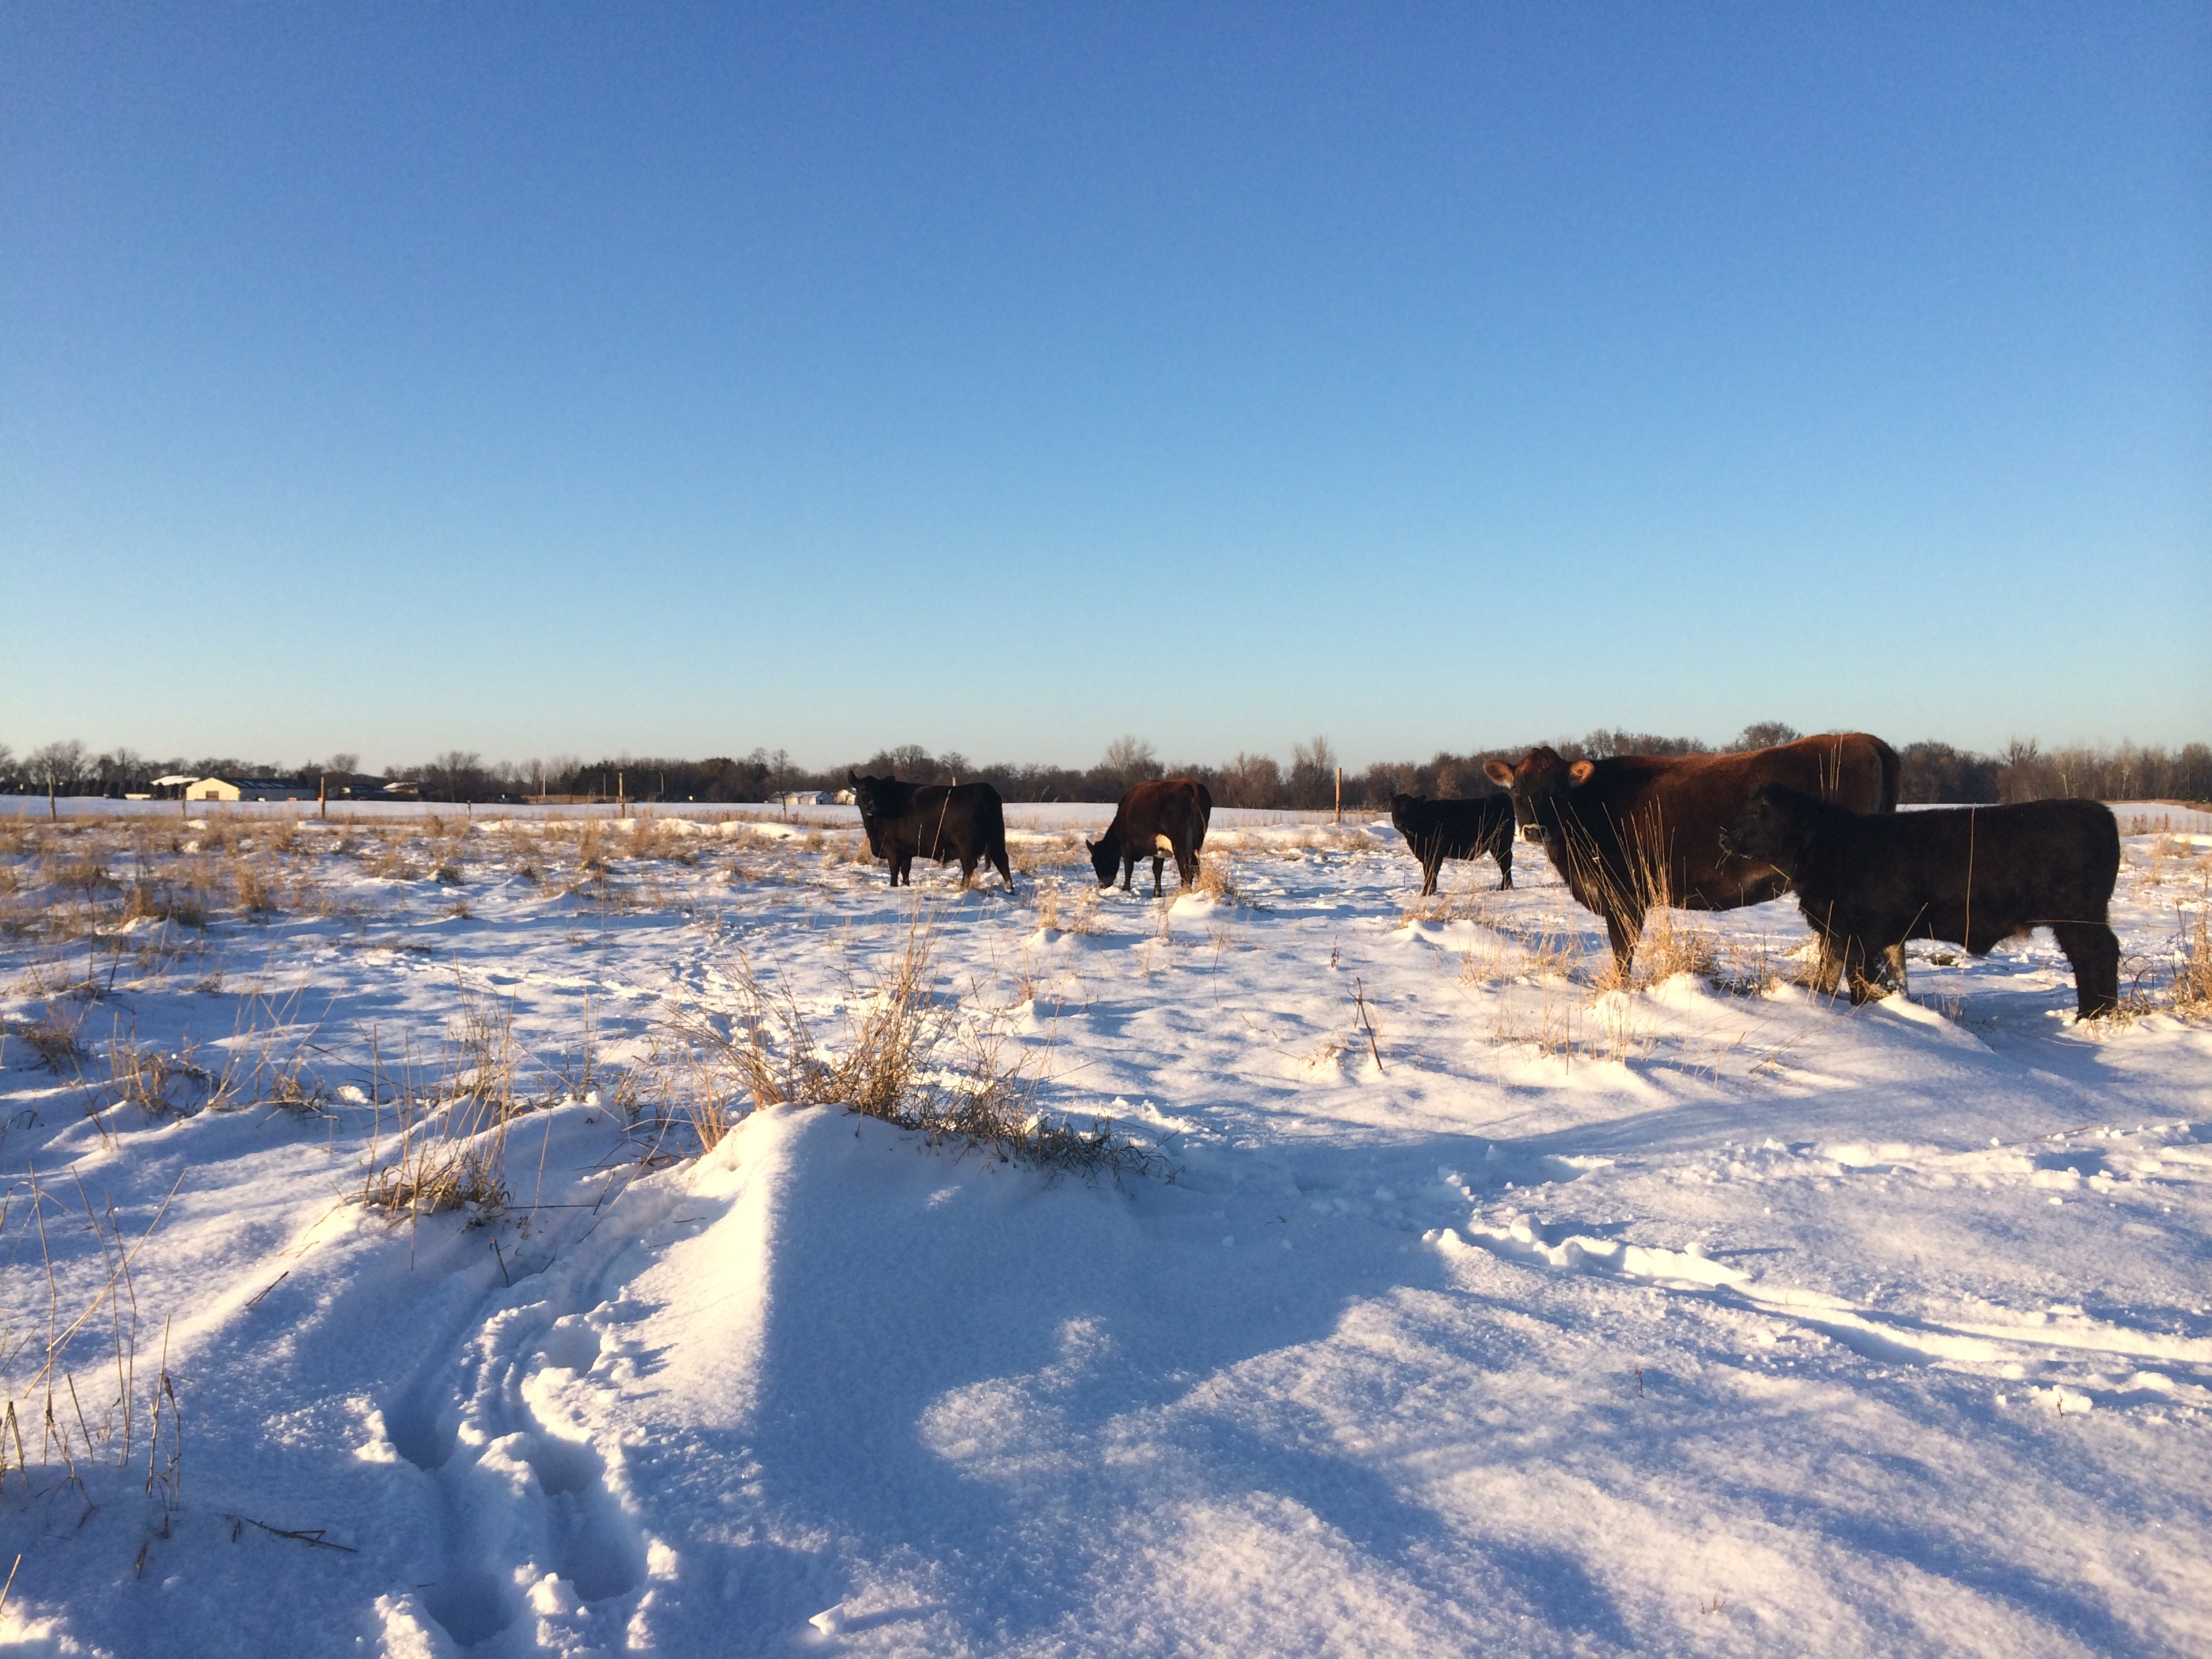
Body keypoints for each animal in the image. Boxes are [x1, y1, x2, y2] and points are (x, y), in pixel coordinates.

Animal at [849, 778, 1012, 898]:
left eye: (878, 791)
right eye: (862, 789)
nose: (871, 806)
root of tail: (985, 789)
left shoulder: (891, 847)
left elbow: (894, 869)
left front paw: (893, 886)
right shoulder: (907, 851)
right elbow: (905, 871)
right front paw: (906, 886)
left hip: (966, 846)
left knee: (969, 866)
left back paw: (963, 888)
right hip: (996, 839)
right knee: (1002, 861)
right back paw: (1010, 890)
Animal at [1084, 778, 1212, 898]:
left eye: (1101, 860)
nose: (1102, 885)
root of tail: (1189, 783)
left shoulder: (1126, 845)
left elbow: (1128, 867)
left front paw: (1125, 888)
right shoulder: (1159, 850)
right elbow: (1157, 869)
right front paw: (1157, 893)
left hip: (1179, 843)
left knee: (1185, 866)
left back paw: (1184, 891)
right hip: (1197, 842)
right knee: (1196, 865)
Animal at [1389, 792, 1513, 898]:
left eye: (1410, 808)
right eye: (1393, 807)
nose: (1399, 822)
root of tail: (1501, 795)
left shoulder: (1435, 854)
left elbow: (1431, 873)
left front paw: (1427, 893)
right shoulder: (1425, 855)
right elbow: (1427, 873)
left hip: (1501, 844)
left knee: (1505, 863)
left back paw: (1505, 887)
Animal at [1486, 739, 1902, 973]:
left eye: (1557, 790)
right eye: (1518, 789)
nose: (1534, 830)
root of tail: (1863, 740)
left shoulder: (1626, 898)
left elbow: (1622, 956)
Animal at [1716, 787, 2114, 1021]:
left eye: (1758, 812)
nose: (1724, 836)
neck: (1831, 845)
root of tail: (2098, 811)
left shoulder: (1858, 934)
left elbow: (1858, 979)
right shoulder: (1840, 931)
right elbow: (1830, 978)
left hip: (2078, 920)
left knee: (2097, 958)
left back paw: (2092, 1016)